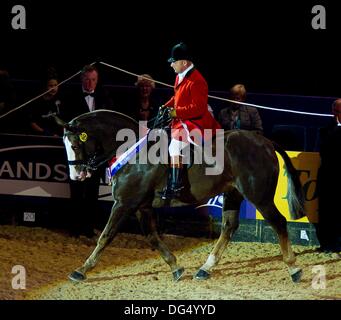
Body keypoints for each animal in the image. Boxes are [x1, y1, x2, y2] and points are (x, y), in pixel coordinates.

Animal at [59, 109, 306, 282]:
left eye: (75, 144)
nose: (76, 174)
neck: (131, 151)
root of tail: (265, 142)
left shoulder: (124, 203)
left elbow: (106, 236)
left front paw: (81, 270)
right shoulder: (141, 206)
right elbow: (152, 237)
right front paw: (176, 267)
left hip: (259, 196)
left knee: (278, 222)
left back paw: (293, 268)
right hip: (233, 193)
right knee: (229, 227)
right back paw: (205, 269)